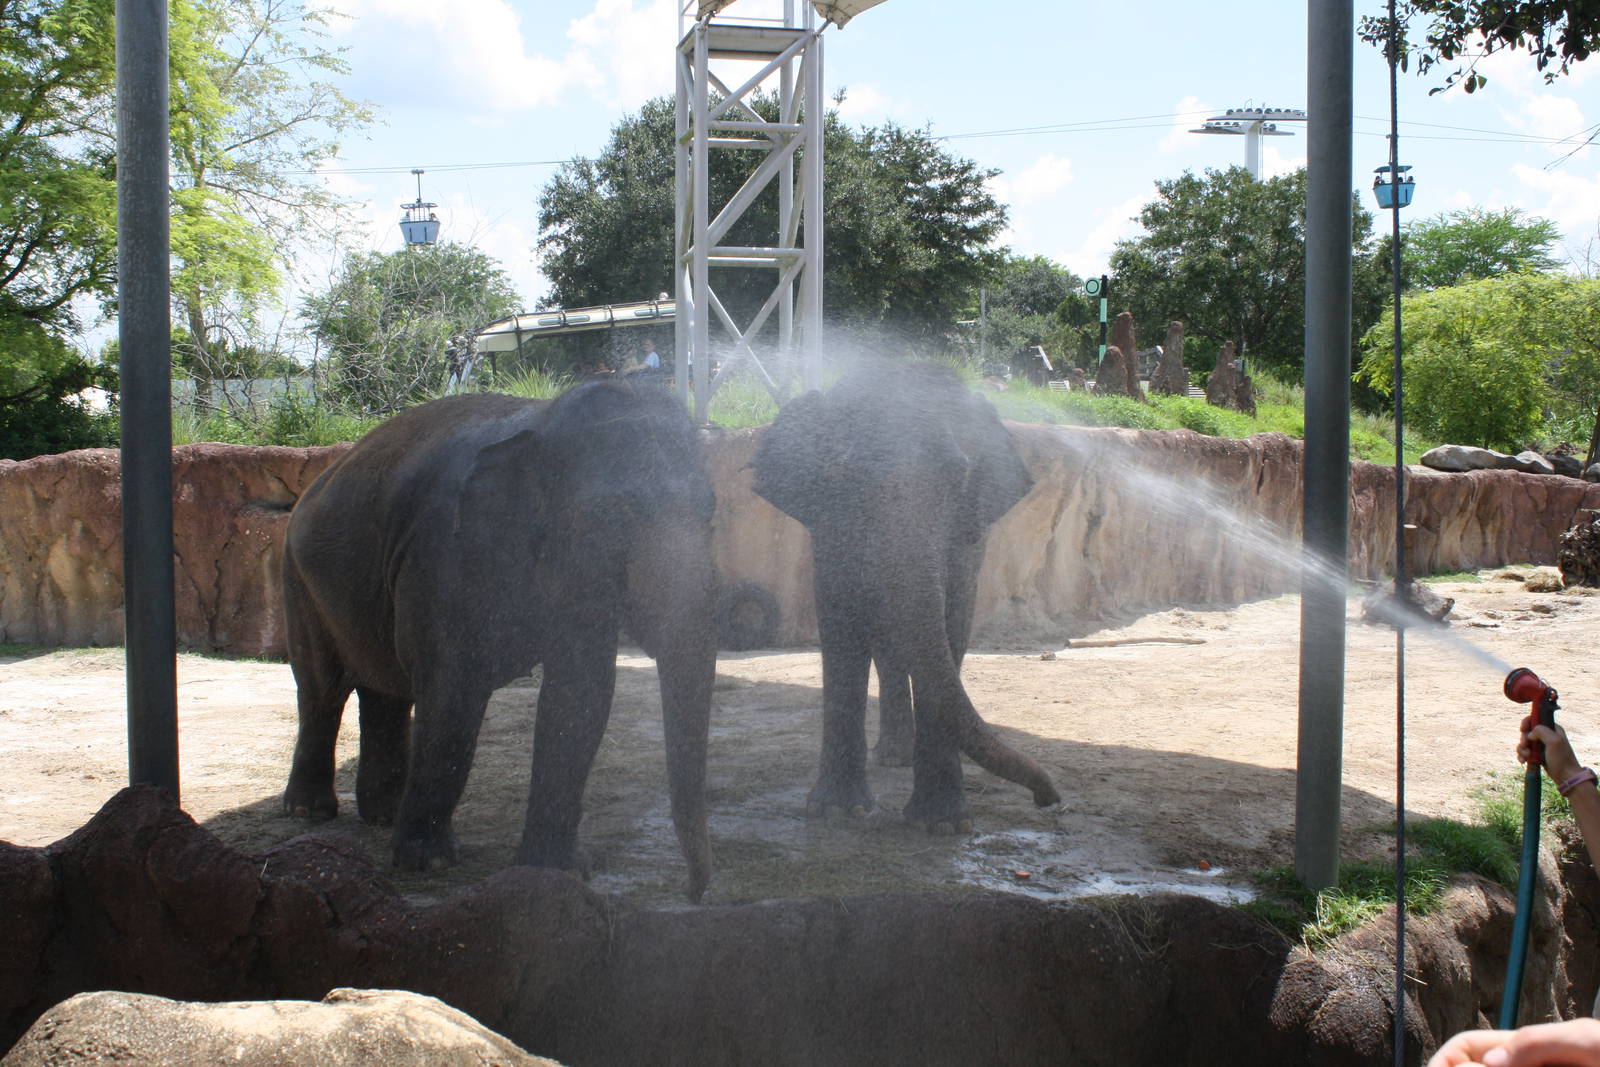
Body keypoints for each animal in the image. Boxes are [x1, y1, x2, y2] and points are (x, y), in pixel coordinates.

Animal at [280, 380, 718, 902]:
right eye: (614, 514)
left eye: (712, 510)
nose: (693, 892)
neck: (543, 424)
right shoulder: (445, 555)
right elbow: (454, 691)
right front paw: (430, 863)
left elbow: (581, 693)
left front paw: (558, 871)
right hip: (297, 576)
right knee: (322, 688)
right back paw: (309, 813)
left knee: (385, 691)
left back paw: (383, 815)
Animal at [751, 362, 1061, 831]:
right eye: (849, 475)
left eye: (958, 476)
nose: (1049, 799)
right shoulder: (829, 529)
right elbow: (841, 627)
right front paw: (837, 813)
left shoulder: (969, 538)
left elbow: (951, 627)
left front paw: (943, 825)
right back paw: (893, 757)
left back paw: (899, 759)